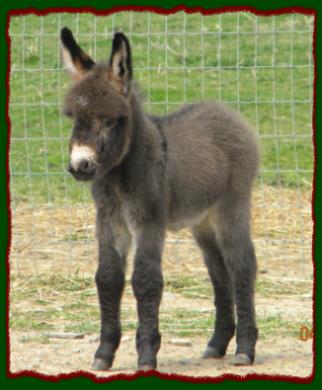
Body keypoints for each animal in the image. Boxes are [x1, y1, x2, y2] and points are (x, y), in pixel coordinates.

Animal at [60, 28, 260, 372]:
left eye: (110, 120)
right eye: (73, 118)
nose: (79, 166)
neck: (120, 176)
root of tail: (227, 112)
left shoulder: (149, 220)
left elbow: (145, 279)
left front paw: (146, 354)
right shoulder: (108, 221)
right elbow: (107, 278)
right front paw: (104, 353)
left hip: (231, 208)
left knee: (241, 265)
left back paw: (245, 349)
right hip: (203, 222)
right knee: (219, 272)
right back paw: (217, 344)